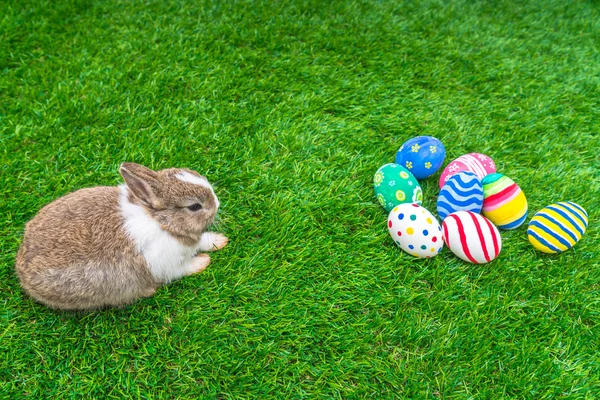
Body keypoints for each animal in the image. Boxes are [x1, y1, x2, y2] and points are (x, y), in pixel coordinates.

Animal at [16, 162, 229, 310]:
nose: (217, 203)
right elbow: (184, 268)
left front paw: (219, 240)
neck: (162, 222)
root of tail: (21, 273)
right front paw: (203, 261)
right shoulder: (165, 265)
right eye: (194, 206)